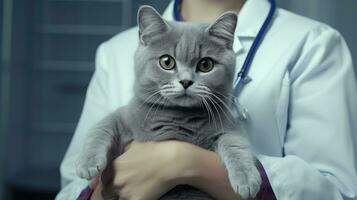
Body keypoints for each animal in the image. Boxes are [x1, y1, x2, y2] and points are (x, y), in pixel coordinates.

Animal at [76, 5, 260, 199]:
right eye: (167, 62)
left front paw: (247, 179)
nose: (186, 81)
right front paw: (87, 163)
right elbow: (101, 127)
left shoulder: (230, 127)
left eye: (206, 65)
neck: (178, 117)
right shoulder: (123, 116)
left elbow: (235, 144)